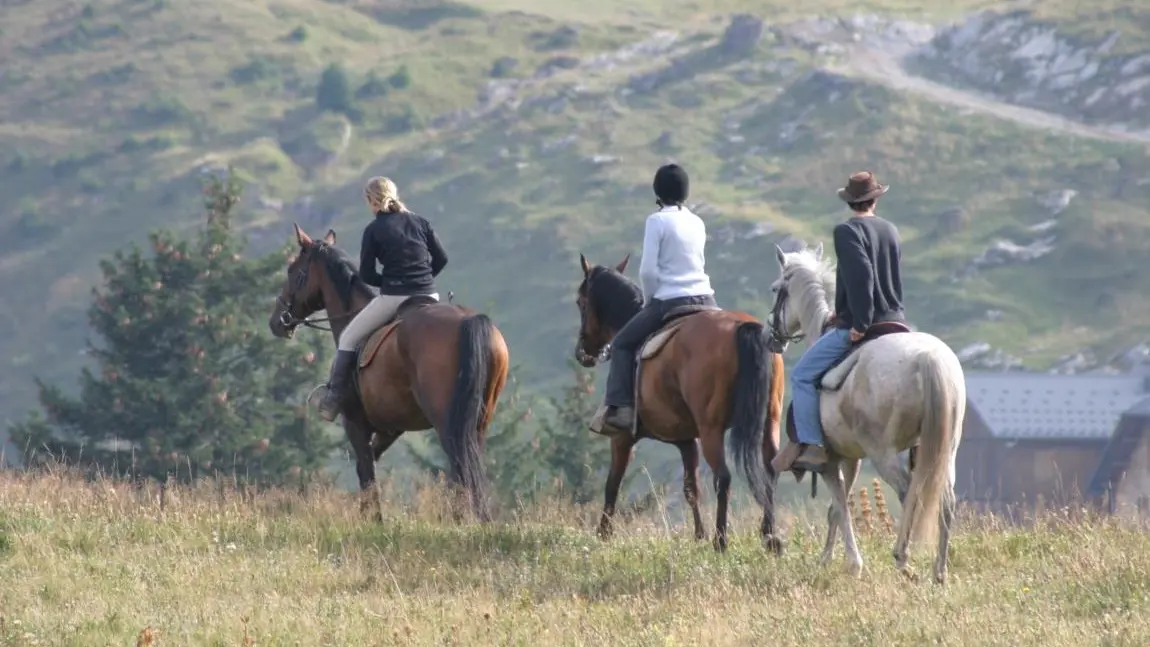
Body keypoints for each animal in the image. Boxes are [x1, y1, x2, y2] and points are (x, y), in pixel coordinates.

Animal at [268, 224, 510, 522]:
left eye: (292, 271)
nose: (277, 321)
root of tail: (469, 319)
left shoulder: (355, 423)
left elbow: (366, 472)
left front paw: (372, 521)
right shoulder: (390, 428)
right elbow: (370, 465)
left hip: (446, 420)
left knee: (459, 465)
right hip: (478, 420)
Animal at [573, 253, 786, 553]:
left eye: (581, 302)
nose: (584, 353)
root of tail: (744, 326)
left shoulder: (622, 438)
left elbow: (612, 483)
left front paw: (603, 534)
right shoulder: (687, 440)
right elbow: (691, 488)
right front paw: (698, 534)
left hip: (711, 429)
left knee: (723, 478)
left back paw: (721, 541)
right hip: (769, 421)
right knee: (770, 470)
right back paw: (769, 536)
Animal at [766, 242, 965, 583]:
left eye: (776, 288)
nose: (771, 338)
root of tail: (928, 358)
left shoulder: (830, 462)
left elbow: (839, 506)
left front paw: (851, 562)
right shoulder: (851, 458)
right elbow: (836, 508)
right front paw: (827, 558)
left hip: (882, 453)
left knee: (908, 492)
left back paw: (903, 558)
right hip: (946, 450)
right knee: (946, 501)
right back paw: (939, 572)